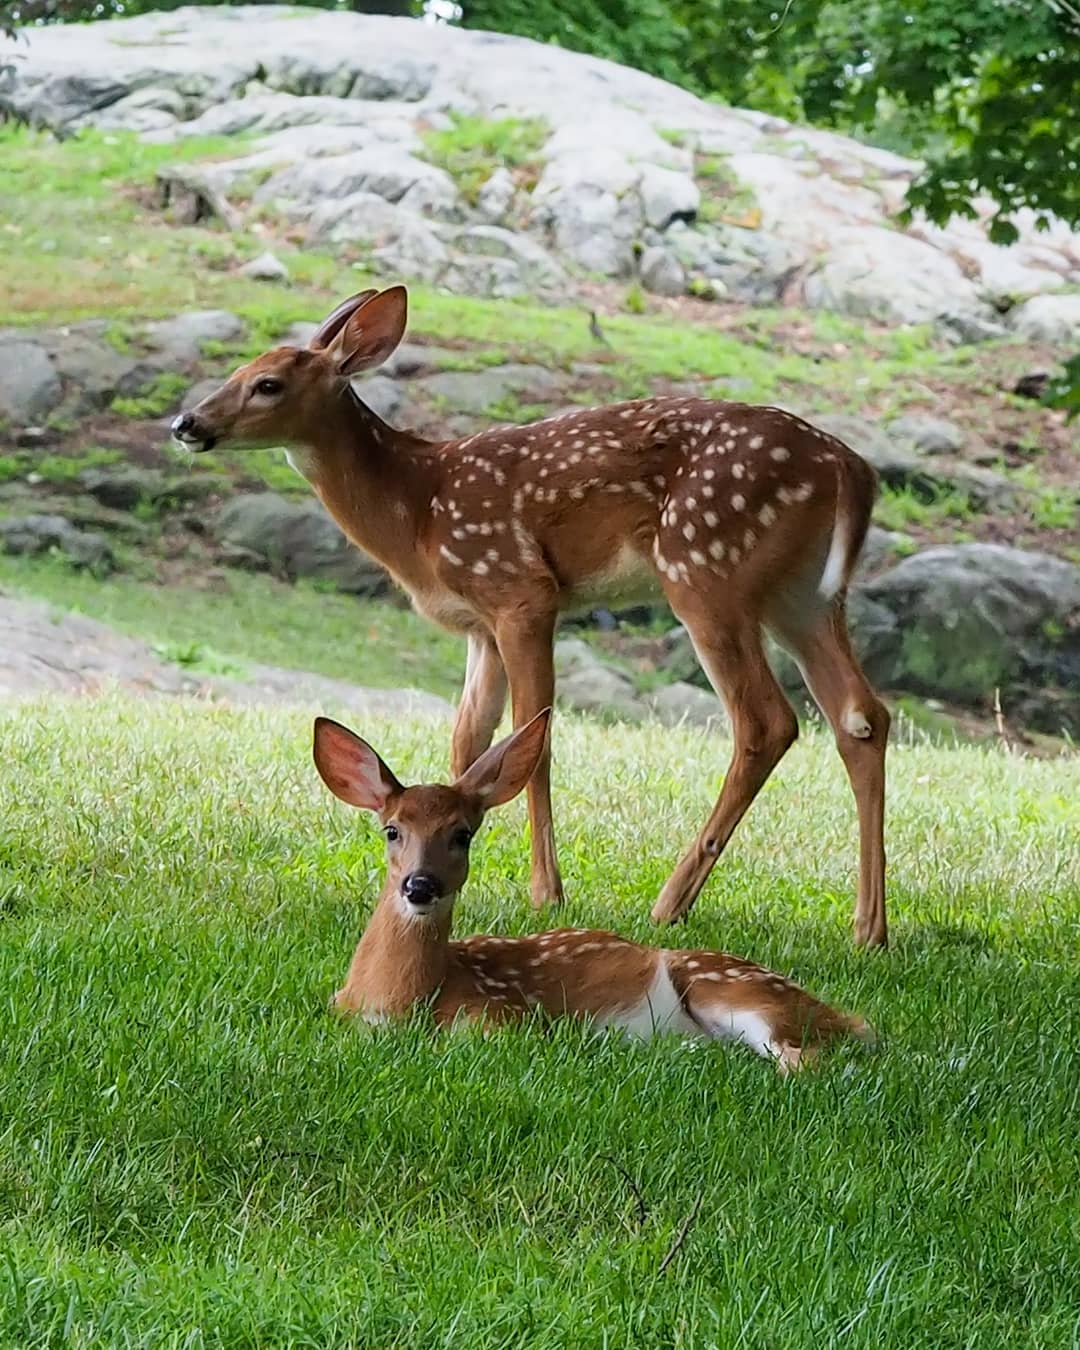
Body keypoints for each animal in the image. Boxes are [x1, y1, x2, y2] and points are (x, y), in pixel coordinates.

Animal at [172, 284, 890, 946]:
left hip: (706, 569)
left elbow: (532, 738)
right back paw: (868, 929)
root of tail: (851, 467)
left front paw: (547, 892)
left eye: (268, 383)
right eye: (238, 369)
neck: (418, 511)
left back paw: (671, 902)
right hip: (805, 594)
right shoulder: (478, 627)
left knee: (767, 721)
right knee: (862, 716)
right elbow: (469, 740)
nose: (186, 423)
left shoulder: (522, 590)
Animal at [311, 707, 873, 1072]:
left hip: (736, 991)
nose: (420, 885)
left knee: (805, 1058)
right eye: (391, 830)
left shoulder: (505, 1015)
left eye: (462, 834)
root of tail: (841, 1016)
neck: (393, 1001)